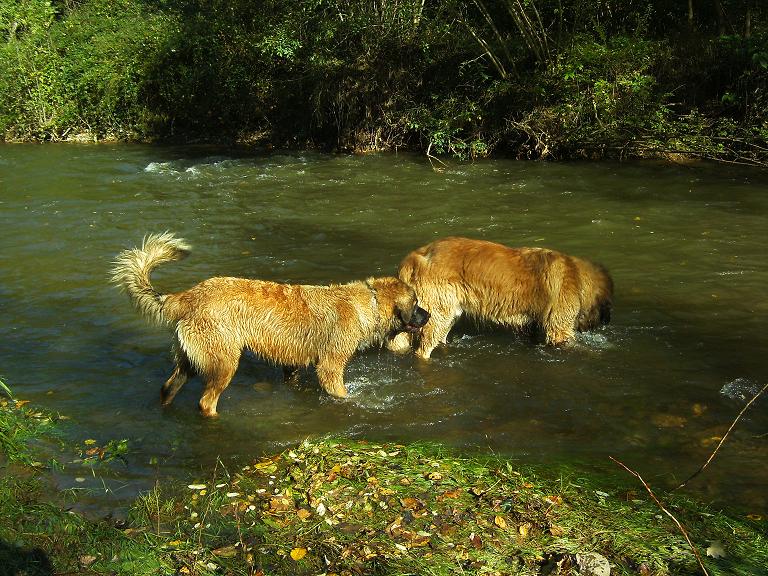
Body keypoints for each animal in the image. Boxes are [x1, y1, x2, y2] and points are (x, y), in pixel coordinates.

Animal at [111, 232, 428, 416]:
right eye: (415, 304)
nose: (427, 316)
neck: (368, 302)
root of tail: (187, 296)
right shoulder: (331, 365)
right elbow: (339, 391)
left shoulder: (294, 364)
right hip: (224, 359)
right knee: (206, 401)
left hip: (190, 357)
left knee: (168, 387)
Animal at [390, 236, 612, 358]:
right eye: (607, 304)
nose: (607, 321)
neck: (576, 274)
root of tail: (415, 257)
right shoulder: (559, 331)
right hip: (437, 315)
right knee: (422, 351)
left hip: (448, 315)